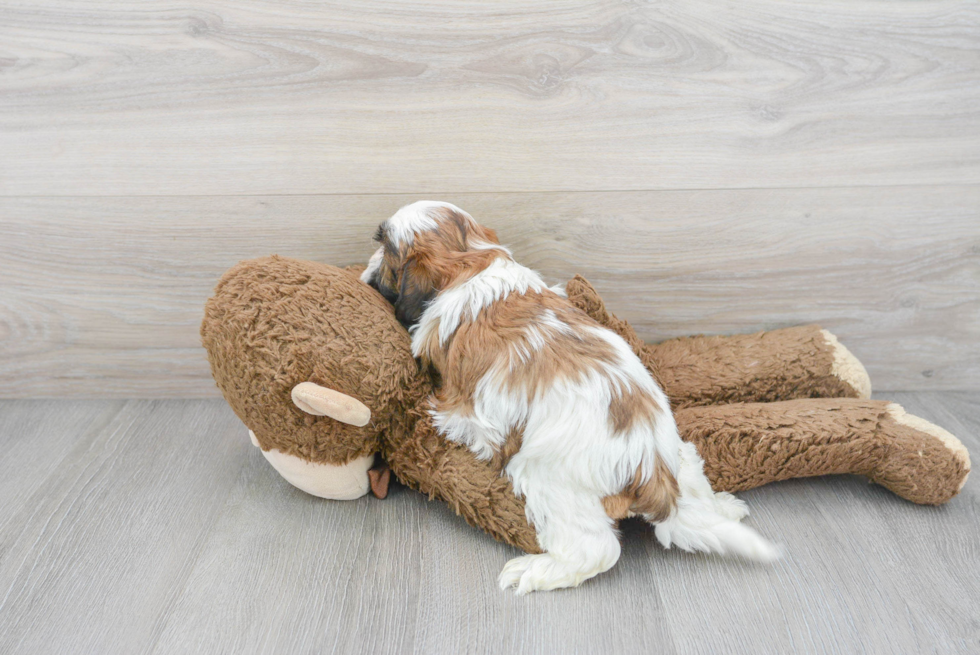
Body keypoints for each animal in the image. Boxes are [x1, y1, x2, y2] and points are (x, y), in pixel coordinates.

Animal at [360, 201, 780, 596]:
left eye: (384, 248)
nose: (364, 271)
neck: (474, 262)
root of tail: (653, 470)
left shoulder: (464, 409)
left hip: (546, 479)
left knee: (596, 550)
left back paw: (534, 571)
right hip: (678, 453)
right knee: (693, 472)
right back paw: (723, 506)